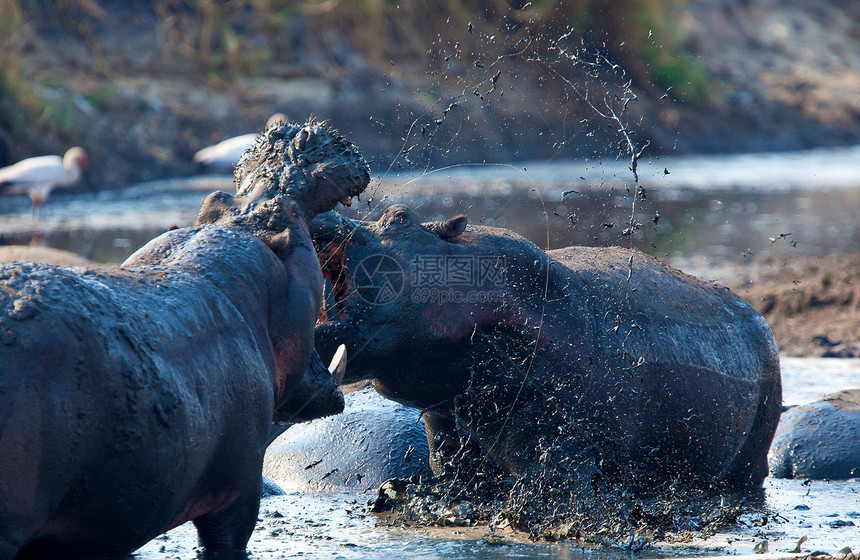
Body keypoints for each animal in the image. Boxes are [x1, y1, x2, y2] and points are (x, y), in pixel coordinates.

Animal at [314, 203, 788, 492]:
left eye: (399, 216)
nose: (323, 212)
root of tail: (760, 318)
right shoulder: (444, 420)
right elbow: (450, 470)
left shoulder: (566, 441)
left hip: (752, 454)